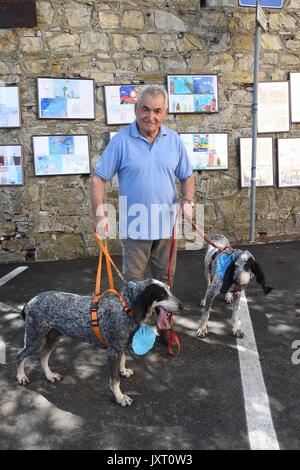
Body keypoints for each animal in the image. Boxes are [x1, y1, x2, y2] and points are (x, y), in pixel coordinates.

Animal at [16, 280, 183, 408]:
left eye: (169, 289)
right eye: (161, 294)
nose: (181, 306)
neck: (126, 307)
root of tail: (30, 302)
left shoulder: (119, 347)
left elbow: (123, 360)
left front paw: (123, 371)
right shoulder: (113, 352)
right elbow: (115, 381)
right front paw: (120, 397)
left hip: (52, 338)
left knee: (43, 356)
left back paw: (50, 376)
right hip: (34, 340)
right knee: (20, 356)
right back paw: (21, 377)